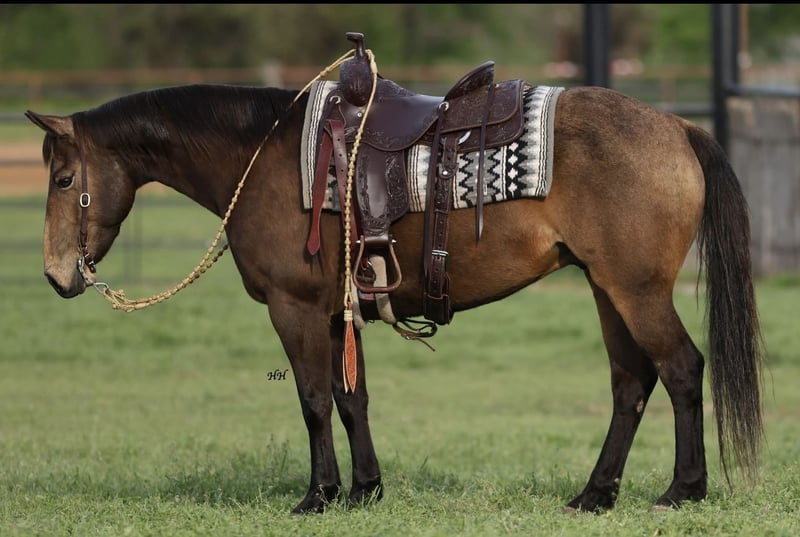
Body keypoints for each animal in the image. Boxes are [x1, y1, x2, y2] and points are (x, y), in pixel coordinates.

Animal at [25, 70, 763, 515]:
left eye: (63, 180)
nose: (57, 274)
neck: (262, 159)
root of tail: (676, 126)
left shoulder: (295, 309)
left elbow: (314, 400)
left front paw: (318, 495)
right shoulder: (335, 312)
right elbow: (351, 400)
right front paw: (364, 489)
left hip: (637, 290)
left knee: (682, 368)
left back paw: (683, 488)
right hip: (608, 289)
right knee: (631, 382)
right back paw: (595, 493)